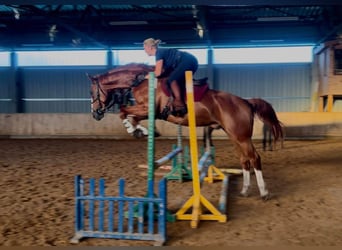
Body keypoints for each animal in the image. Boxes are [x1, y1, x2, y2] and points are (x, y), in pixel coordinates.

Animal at [88, 63, 284, 200]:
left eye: (91, 92)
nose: (95, 114)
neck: (142, 80)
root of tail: (245, 101)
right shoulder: (148, 111)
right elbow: (128, 114)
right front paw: (141, 130)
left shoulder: (148, 109)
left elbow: (123, 112)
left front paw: (136, 130)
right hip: (234, 136)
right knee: (244, 160)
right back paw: (244, 191)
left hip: (241, 137)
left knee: (254, 158)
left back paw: (264, 193)